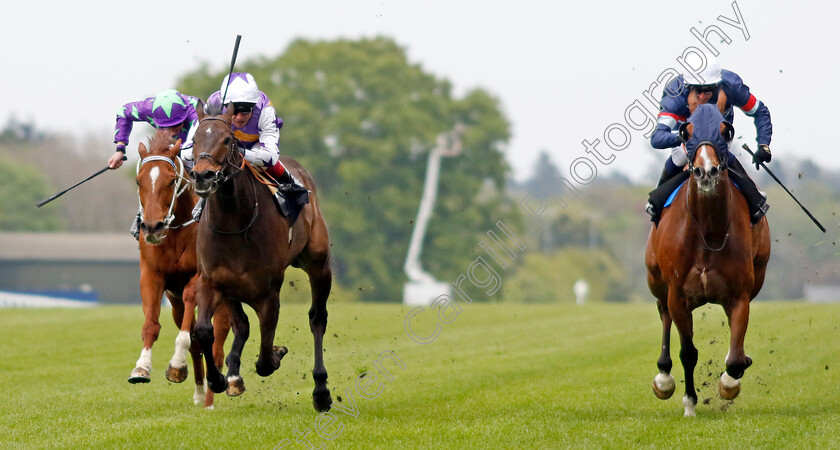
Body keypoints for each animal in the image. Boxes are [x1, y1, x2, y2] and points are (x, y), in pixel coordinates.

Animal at [130, 130, 230, 408]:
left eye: (171, 180)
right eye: (138, 181)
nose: (152, 227)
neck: (175, 232)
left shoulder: (198, 277)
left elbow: (192, 322)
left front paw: (176, 363)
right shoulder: (151, 276)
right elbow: (151, 324)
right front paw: (142, 367)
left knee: (217, 343)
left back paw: (215, 396)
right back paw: (200, 393)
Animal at [189, 103, 334, 412]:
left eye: (227, 140)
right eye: (194, 140)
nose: (202, 176)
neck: (235, 223)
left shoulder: (269, 292)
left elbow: (266, 357)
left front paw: (277, 352)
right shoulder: (212, 281)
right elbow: (205, 330)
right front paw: (219, 379)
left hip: (319, 265)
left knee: (317, 319)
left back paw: (321, 391)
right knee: (241, 325)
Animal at [648, 103, 772, 416]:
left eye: (725, 131)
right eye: (686, 131)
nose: (706, 171)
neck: (708, 233)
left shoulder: (740, 294)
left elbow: (736, 359)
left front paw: (729, 383)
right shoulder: (678, 296)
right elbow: (688, 352)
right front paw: (689, 403)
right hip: (657, 283)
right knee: (663, 315)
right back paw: (663, 378)